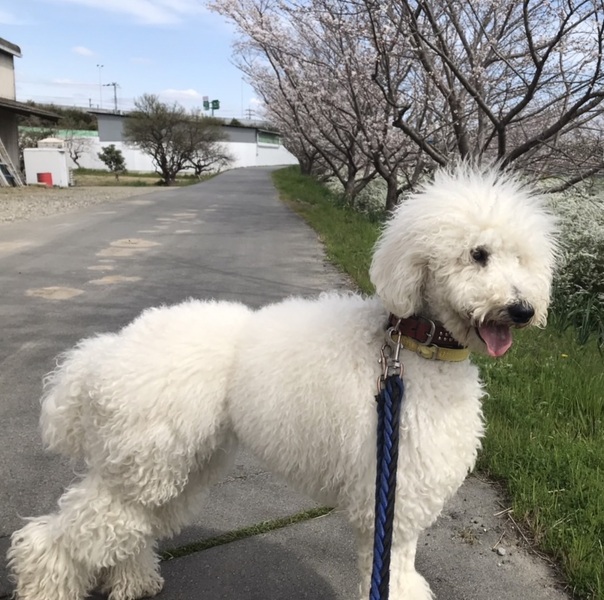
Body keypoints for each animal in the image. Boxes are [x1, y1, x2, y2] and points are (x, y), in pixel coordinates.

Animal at [8, 165, 557, 600]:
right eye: (478, 253)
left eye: (522, 259)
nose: (523, 309)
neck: (415, 347)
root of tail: (107, 352)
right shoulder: (391, 495)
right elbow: (391, 577)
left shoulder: (400, 499)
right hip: (148, 458)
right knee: (67, 534)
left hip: (173, 467)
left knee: (129, 528)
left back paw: (135, 582)